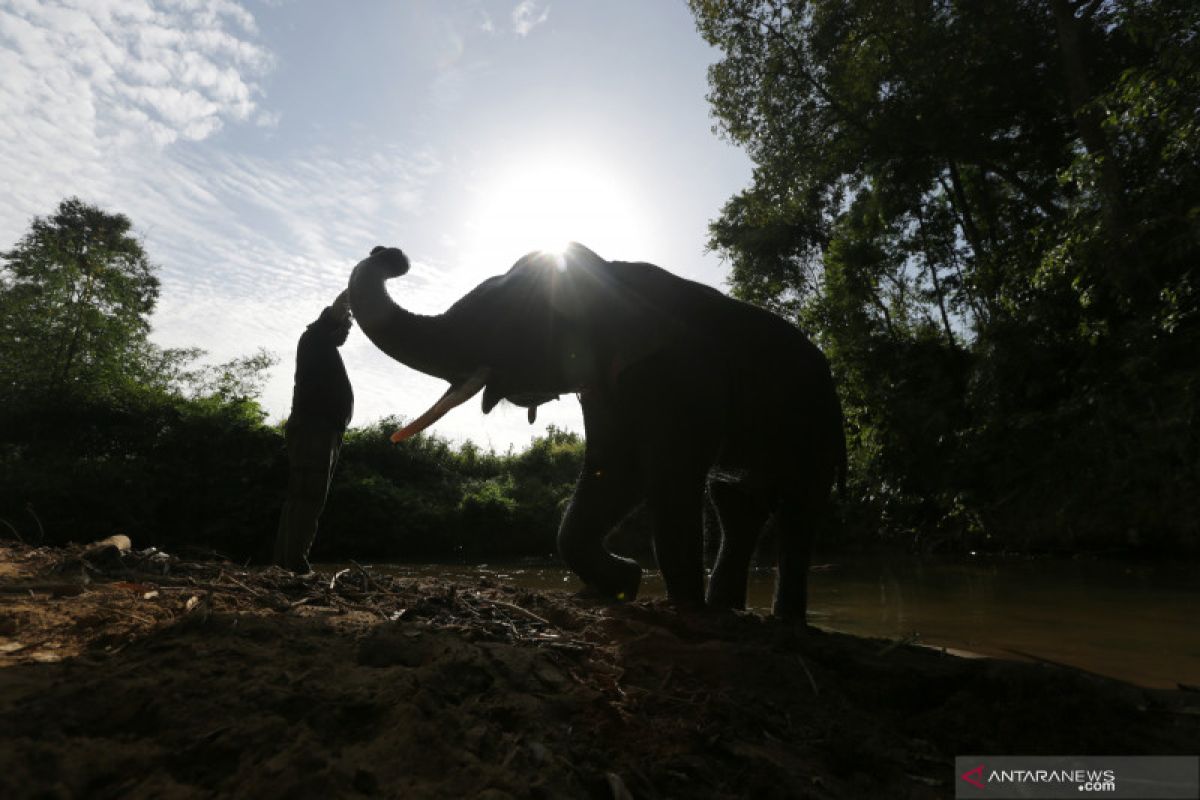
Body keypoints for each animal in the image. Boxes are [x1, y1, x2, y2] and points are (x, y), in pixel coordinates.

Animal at [348, 242, 844, 618]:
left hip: (819, 419)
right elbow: (617, 468)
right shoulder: (604, 384)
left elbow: (667, 475)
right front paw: (624, 581)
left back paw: (780, 622)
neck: (611, 275)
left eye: (513, 321)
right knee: (737, 505)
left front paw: (682, 607)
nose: (390, 254)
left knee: (798, 508)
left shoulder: (686, 377)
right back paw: (731, 612)